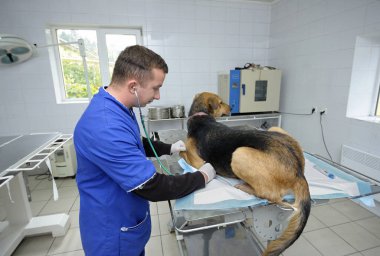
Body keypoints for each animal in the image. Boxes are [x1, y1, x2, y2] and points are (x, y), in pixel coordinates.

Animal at [181, 92, 312, 256]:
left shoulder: (198, 163)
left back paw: (243, 187)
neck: (201, 116)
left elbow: (181, 151)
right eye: (221, 102)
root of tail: (297, 170)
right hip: (276, 130)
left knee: (271, 195)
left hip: (239, 153)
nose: (232, 108)